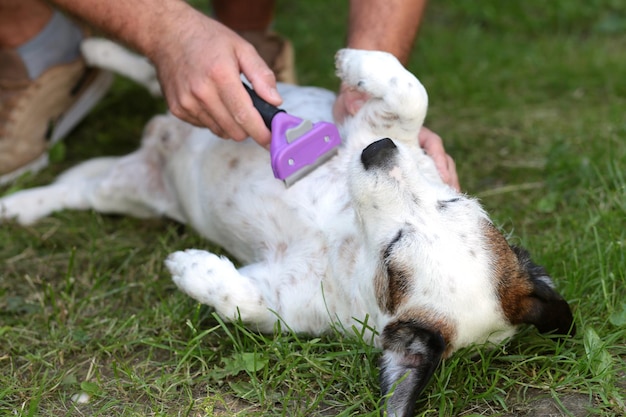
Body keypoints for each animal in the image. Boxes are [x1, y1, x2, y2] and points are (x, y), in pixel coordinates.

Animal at [0, 43, 572, 416]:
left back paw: (18, 204)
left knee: (79, 189)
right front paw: (356, 62)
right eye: (452, 199)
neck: (347, 231)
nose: (377, 152)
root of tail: (154, 141)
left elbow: (238, 300)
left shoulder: (279, 301)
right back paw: (100, 50)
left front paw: (194, 268)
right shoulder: (378, 126)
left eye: (392, 256)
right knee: (152, 70)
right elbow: (411, 92)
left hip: (126, 192)